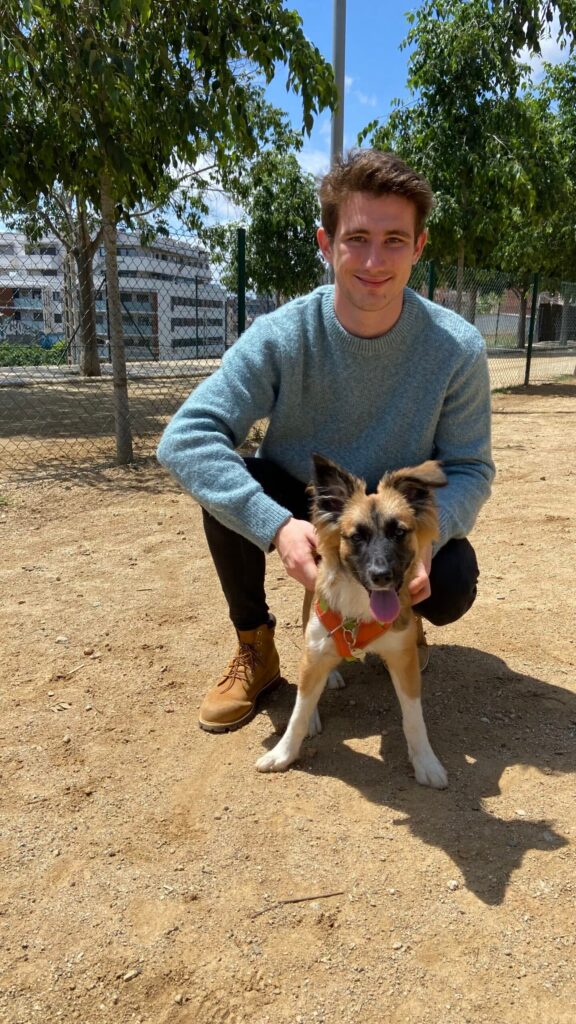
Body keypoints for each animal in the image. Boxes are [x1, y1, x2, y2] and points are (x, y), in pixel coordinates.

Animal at [255, 452, 448, 786]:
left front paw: (426, 762)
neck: (360, 610)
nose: (381, 575)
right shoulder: (317, 648)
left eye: (399, 532)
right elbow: (298, 712)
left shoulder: (404, 657)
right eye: (357, 536)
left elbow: (414, 718)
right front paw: (283, 754)